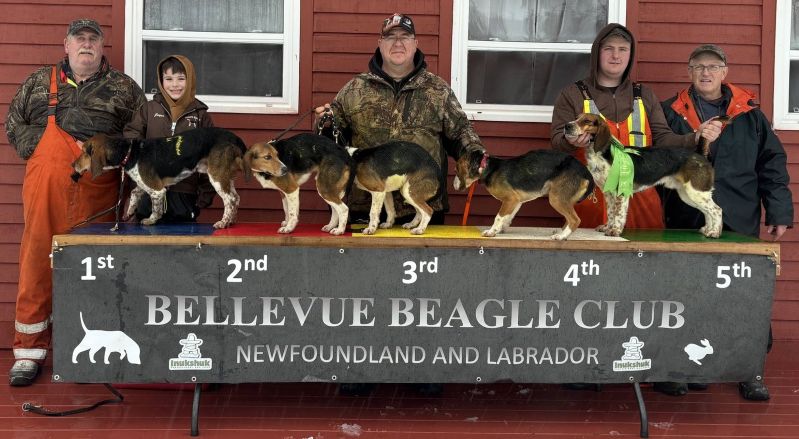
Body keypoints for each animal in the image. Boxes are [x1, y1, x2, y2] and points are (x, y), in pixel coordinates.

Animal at [71, 127, 251, 229]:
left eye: (84, 152)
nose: (73, 165)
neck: (130, 152)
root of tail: (235, 138)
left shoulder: (157, 190)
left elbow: (155, 209)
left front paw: (150, 220)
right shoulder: (143, 183)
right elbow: (135, 193)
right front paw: (129, 212)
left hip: (217, 176)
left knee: (230, 199)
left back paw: (223, 223)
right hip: (226, 176)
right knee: (236, 197)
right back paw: (232, 221)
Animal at [453, 149, 595, 240]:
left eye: (456, 170)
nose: (453, 186)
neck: (488, 167)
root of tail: (586, 172)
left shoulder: (510, 199)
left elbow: (499, 217)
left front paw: (492, 231)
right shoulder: (516, 201)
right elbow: (508, 217)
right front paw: (500, 229)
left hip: (556, 199)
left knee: (575, 220)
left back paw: (561, 236)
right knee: (569, 218)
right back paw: (562, 232)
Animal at [564, 113, 722, 238]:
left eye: (586, 121)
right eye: (576, 118)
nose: (566, 125)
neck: (601, 154)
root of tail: (699, 154)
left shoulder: (620, 192)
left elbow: (618, 214)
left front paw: (615, 231)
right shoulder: (608, 193)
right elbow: (610, 213)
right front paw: (607, 227)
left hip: (696, 192)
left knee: (716, 210)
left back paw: (714, 232)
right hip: (688, 194)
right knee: (708, 212)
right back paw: (707, 230)